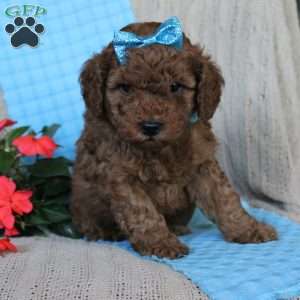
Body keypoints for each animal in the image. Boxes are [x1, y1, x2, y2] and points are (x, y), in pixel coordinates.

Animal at [70, 20, 276, 258]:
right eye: (125, 88)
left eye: (175, 86)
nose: (150, 126)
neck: (159, 148)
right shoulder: (119, 174)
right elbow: (142, 211)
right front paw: (160, 242)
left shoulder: (202, 163)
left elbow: (225, 198)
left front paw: (248, 228)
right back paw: (106, 231)